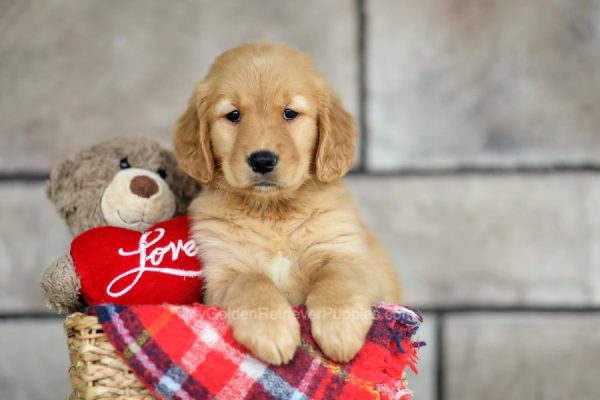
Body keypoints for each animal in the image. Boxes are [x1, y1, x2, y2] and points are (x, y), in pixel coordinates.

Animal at [173, 42, 400, 364]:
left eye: (290, 113)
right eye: (233, 115)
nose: (262, 160)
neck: (273, 212)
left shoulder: (352, 258)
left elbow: (338, 275)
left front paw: (340, 329)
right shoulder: (219, 279)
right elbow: (251, 280)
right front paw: (271, 330)